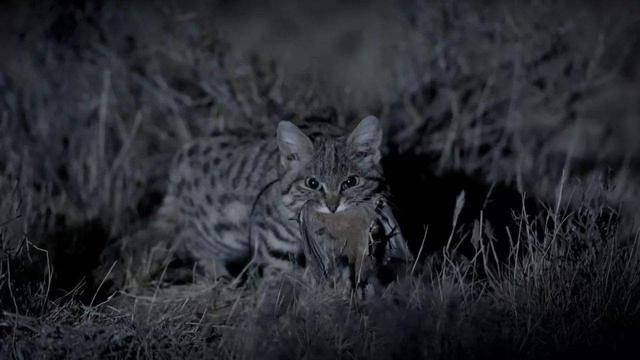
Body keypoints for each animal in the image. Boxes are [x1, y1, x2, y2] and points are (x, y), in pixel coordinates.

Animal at [168, 115, 412, 284]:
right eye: (312, 183)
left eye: (351, 182)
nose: (333, 207)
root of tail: (181, 154)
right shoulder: (274, 243)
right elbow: (280, 280)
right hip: (219, 232)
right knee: (194, 243)